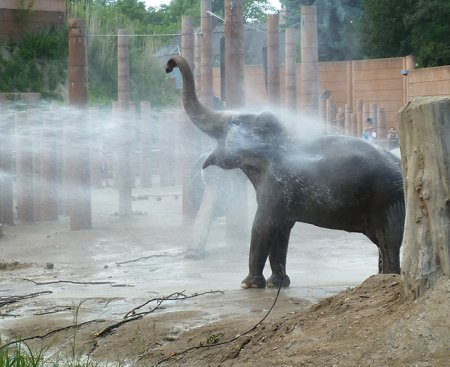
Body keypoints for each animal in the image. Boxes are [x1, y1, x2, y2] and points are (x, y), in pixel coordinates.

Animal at [165, 55, 404, 290]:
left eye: (234, 121)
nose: (168, 66)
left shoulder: (277, 186)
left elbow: (263, 225)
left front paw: (248, 284)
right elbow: (281, 231)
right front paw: (277, 283)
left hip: (386, 199)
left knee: (388, 240)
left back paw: (388, 277)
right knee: (382, 242)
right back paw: (377, 277)